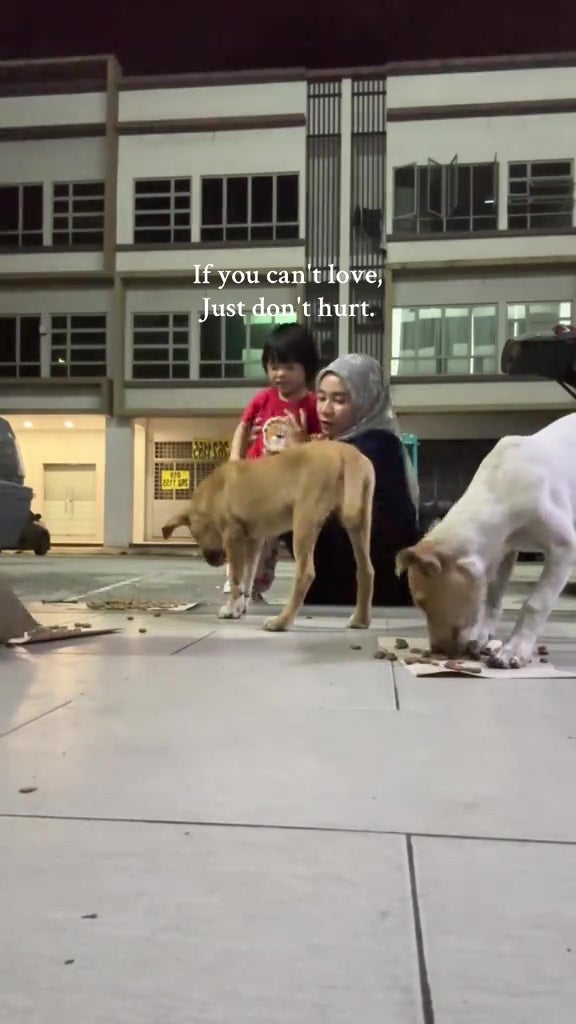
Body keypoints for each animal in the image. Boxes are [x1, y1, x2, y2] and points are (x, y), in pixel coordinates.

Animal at [162, 440, 377, 630]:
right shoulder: (254, 541)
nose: (211, 561)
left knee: (306, 573)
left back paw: (281, 622)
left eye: (195, 535)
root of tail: (347, 451)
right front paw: (240, 608)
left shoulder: (233, 538)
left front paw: (231, 609)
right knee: (366, 569)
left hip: (304, 521)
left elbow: (236, 578)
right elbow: (248, 578)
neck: (212, 494)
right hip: (360, 522)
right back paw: (361, 620)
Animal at [397, 411, 573, 667]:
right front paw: (482, 635)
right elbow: (493, 594)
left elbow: (535, 603)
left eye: (422, 602)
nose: (437, 650)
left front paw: (515, 648)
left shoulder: (563, 547)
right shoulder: (505, 550)